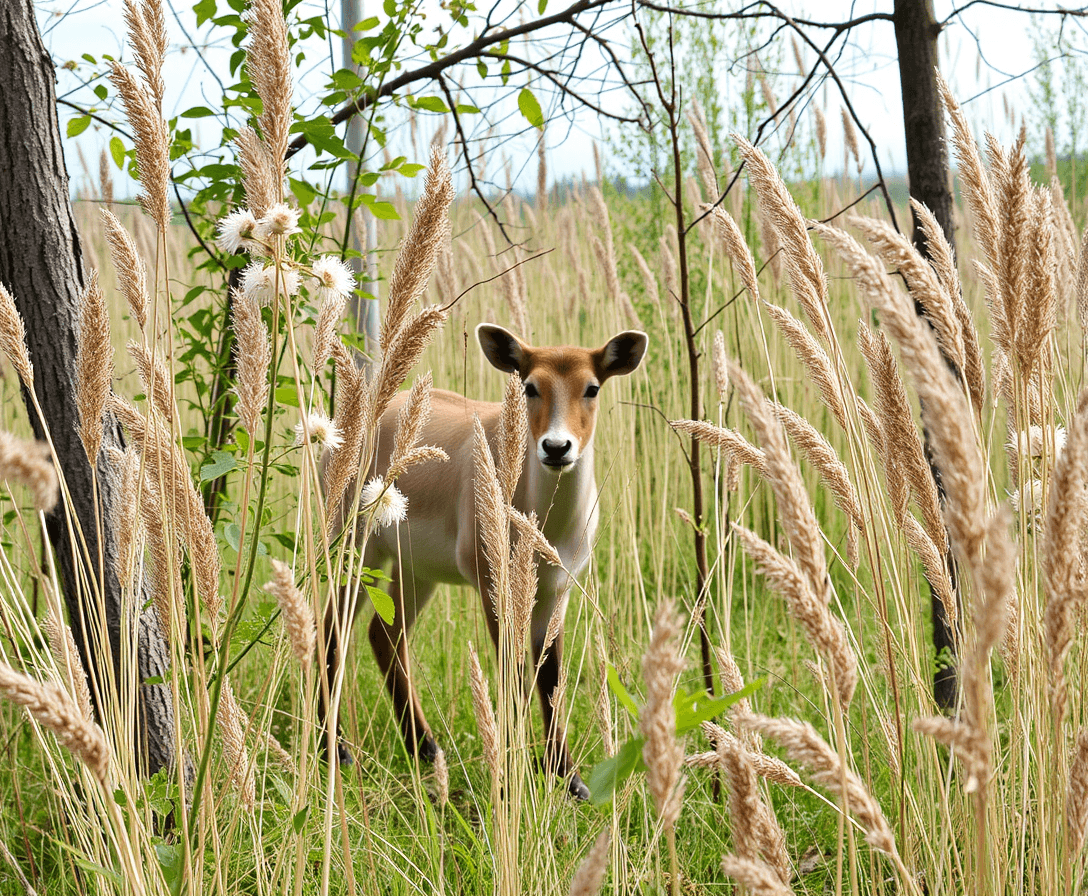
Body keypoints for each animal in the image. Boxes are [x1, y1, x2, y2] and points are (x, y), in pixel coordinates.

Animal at [319, 321, 644, 795]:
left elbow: (550, 677)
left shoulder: (557, 589)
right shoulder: (493, 582)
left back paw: (425, 748)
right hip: (354, 545)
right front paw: (510, 778)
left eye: (592, 387)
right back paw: (337, 751)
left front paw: (569, 779)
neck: (545, 527)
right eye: (529, 386)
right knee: (328, 630)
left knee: (384, 634)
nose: (556, 447)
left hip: (416, 569)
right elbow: (512, 675)